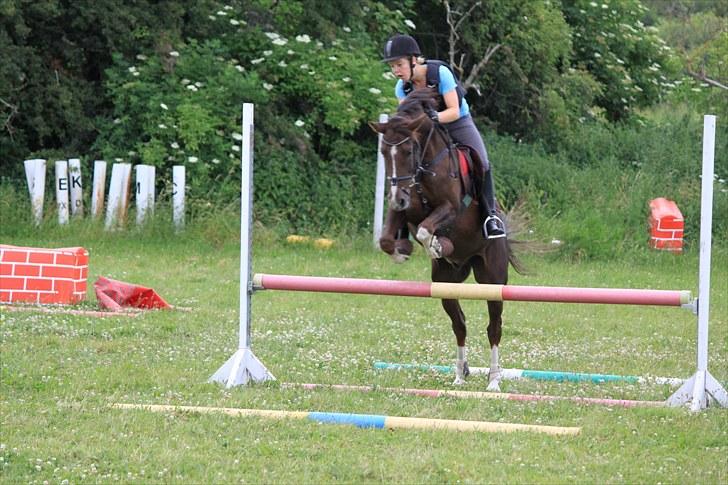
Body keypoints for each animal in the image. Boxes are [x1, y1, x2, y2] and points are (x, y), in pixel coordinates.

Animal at [370, 89, 524, 391]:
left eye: (408, 151)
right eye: (383, 153)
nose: (396, 197)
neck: (425, 165)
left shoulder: (451, 208)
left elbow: (425, 229)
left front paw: (438, 245)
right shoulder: (404, 208)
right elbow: (387, 238)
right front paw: (403, 250)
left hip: (493, 280)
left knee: (494, 327)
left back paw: (493, 380)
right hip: (445, 284)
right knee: (460, 324)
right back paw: (459, 374)